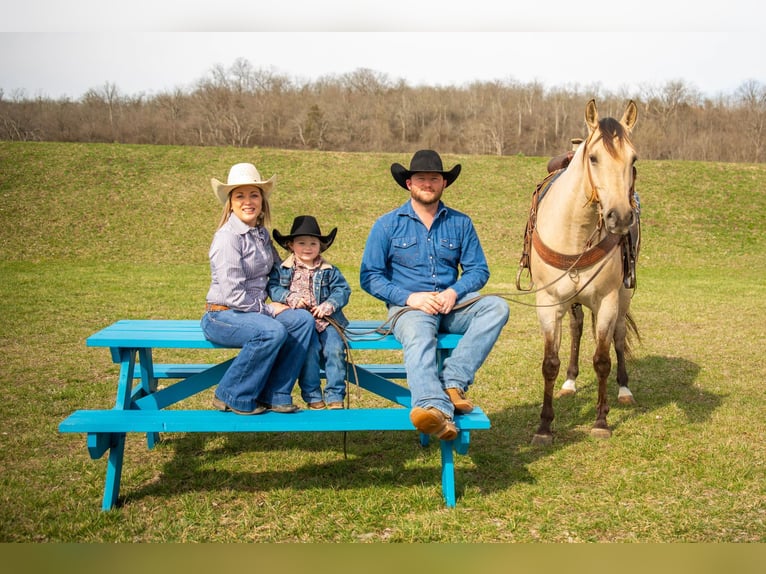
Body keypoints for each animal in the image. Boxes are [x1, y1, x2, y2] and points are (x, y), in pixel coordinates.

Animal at [520, 101, 640, 448]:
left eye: (633, 159)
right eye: (594, 157)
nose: (620, 217)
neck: (575, 230)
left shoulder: (608, 300)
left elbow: (602, 359)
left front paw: (601, 420)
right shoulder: (548, 303)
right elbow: (550, 362)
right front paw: (544, 426)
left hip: (624, 296)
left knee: (618, 337)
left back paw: (624, 390)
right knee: (576, 329)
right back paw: (570, 382)